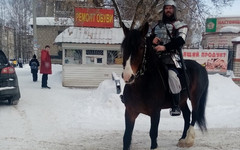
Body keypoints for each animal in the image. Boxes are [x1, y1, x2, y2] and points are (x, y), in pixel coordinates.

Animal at [120, 22, 208, 150]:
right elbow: (126, 137)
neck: (141, 87)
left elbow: (153, 135)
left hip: (195, 98)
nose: (127, 76)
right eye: (124, 46)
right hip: (182, 100)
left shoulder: (155, 113)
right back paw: (182, 138)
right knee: (187, 115)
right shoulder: (130, 112)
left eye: (141, 47)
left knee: (194, 115)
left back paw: (188, 140)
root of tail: (201, 67)